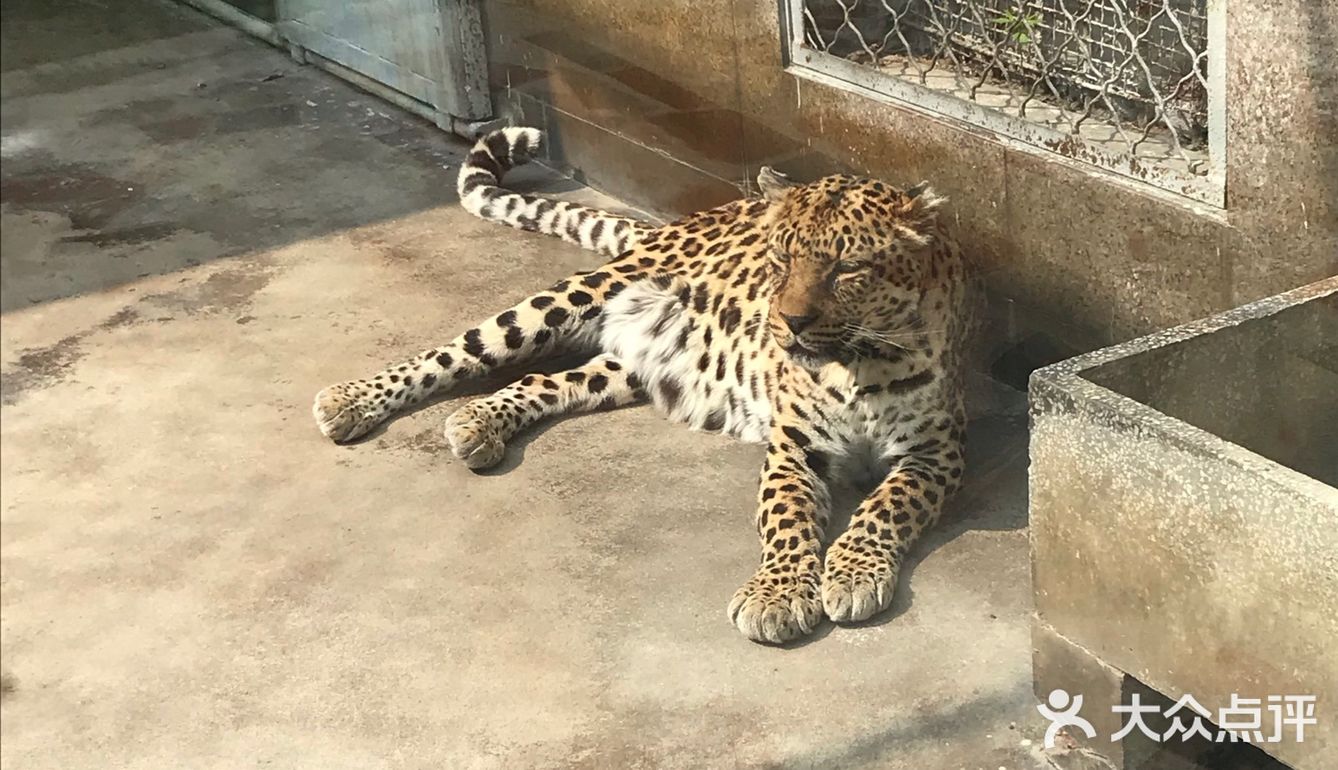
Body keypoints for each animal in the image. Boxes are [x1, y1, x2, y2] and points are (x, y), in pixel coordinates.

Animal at [313, 126, 974, 645]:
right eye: (781, 260)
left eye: (848, 269)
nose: (789, 321)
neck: (854, 365)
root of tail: (688, 220)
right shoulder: (794, 447)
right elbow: (785, 518)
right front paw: (778, 594)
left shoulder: (936, 451)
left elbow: (887, 506)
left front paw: (855, 571)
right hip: (577, 296)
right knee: (461, 349)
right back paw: (351, 400)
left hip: (638, 358)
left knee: (543, 379)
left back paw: (479, 422)